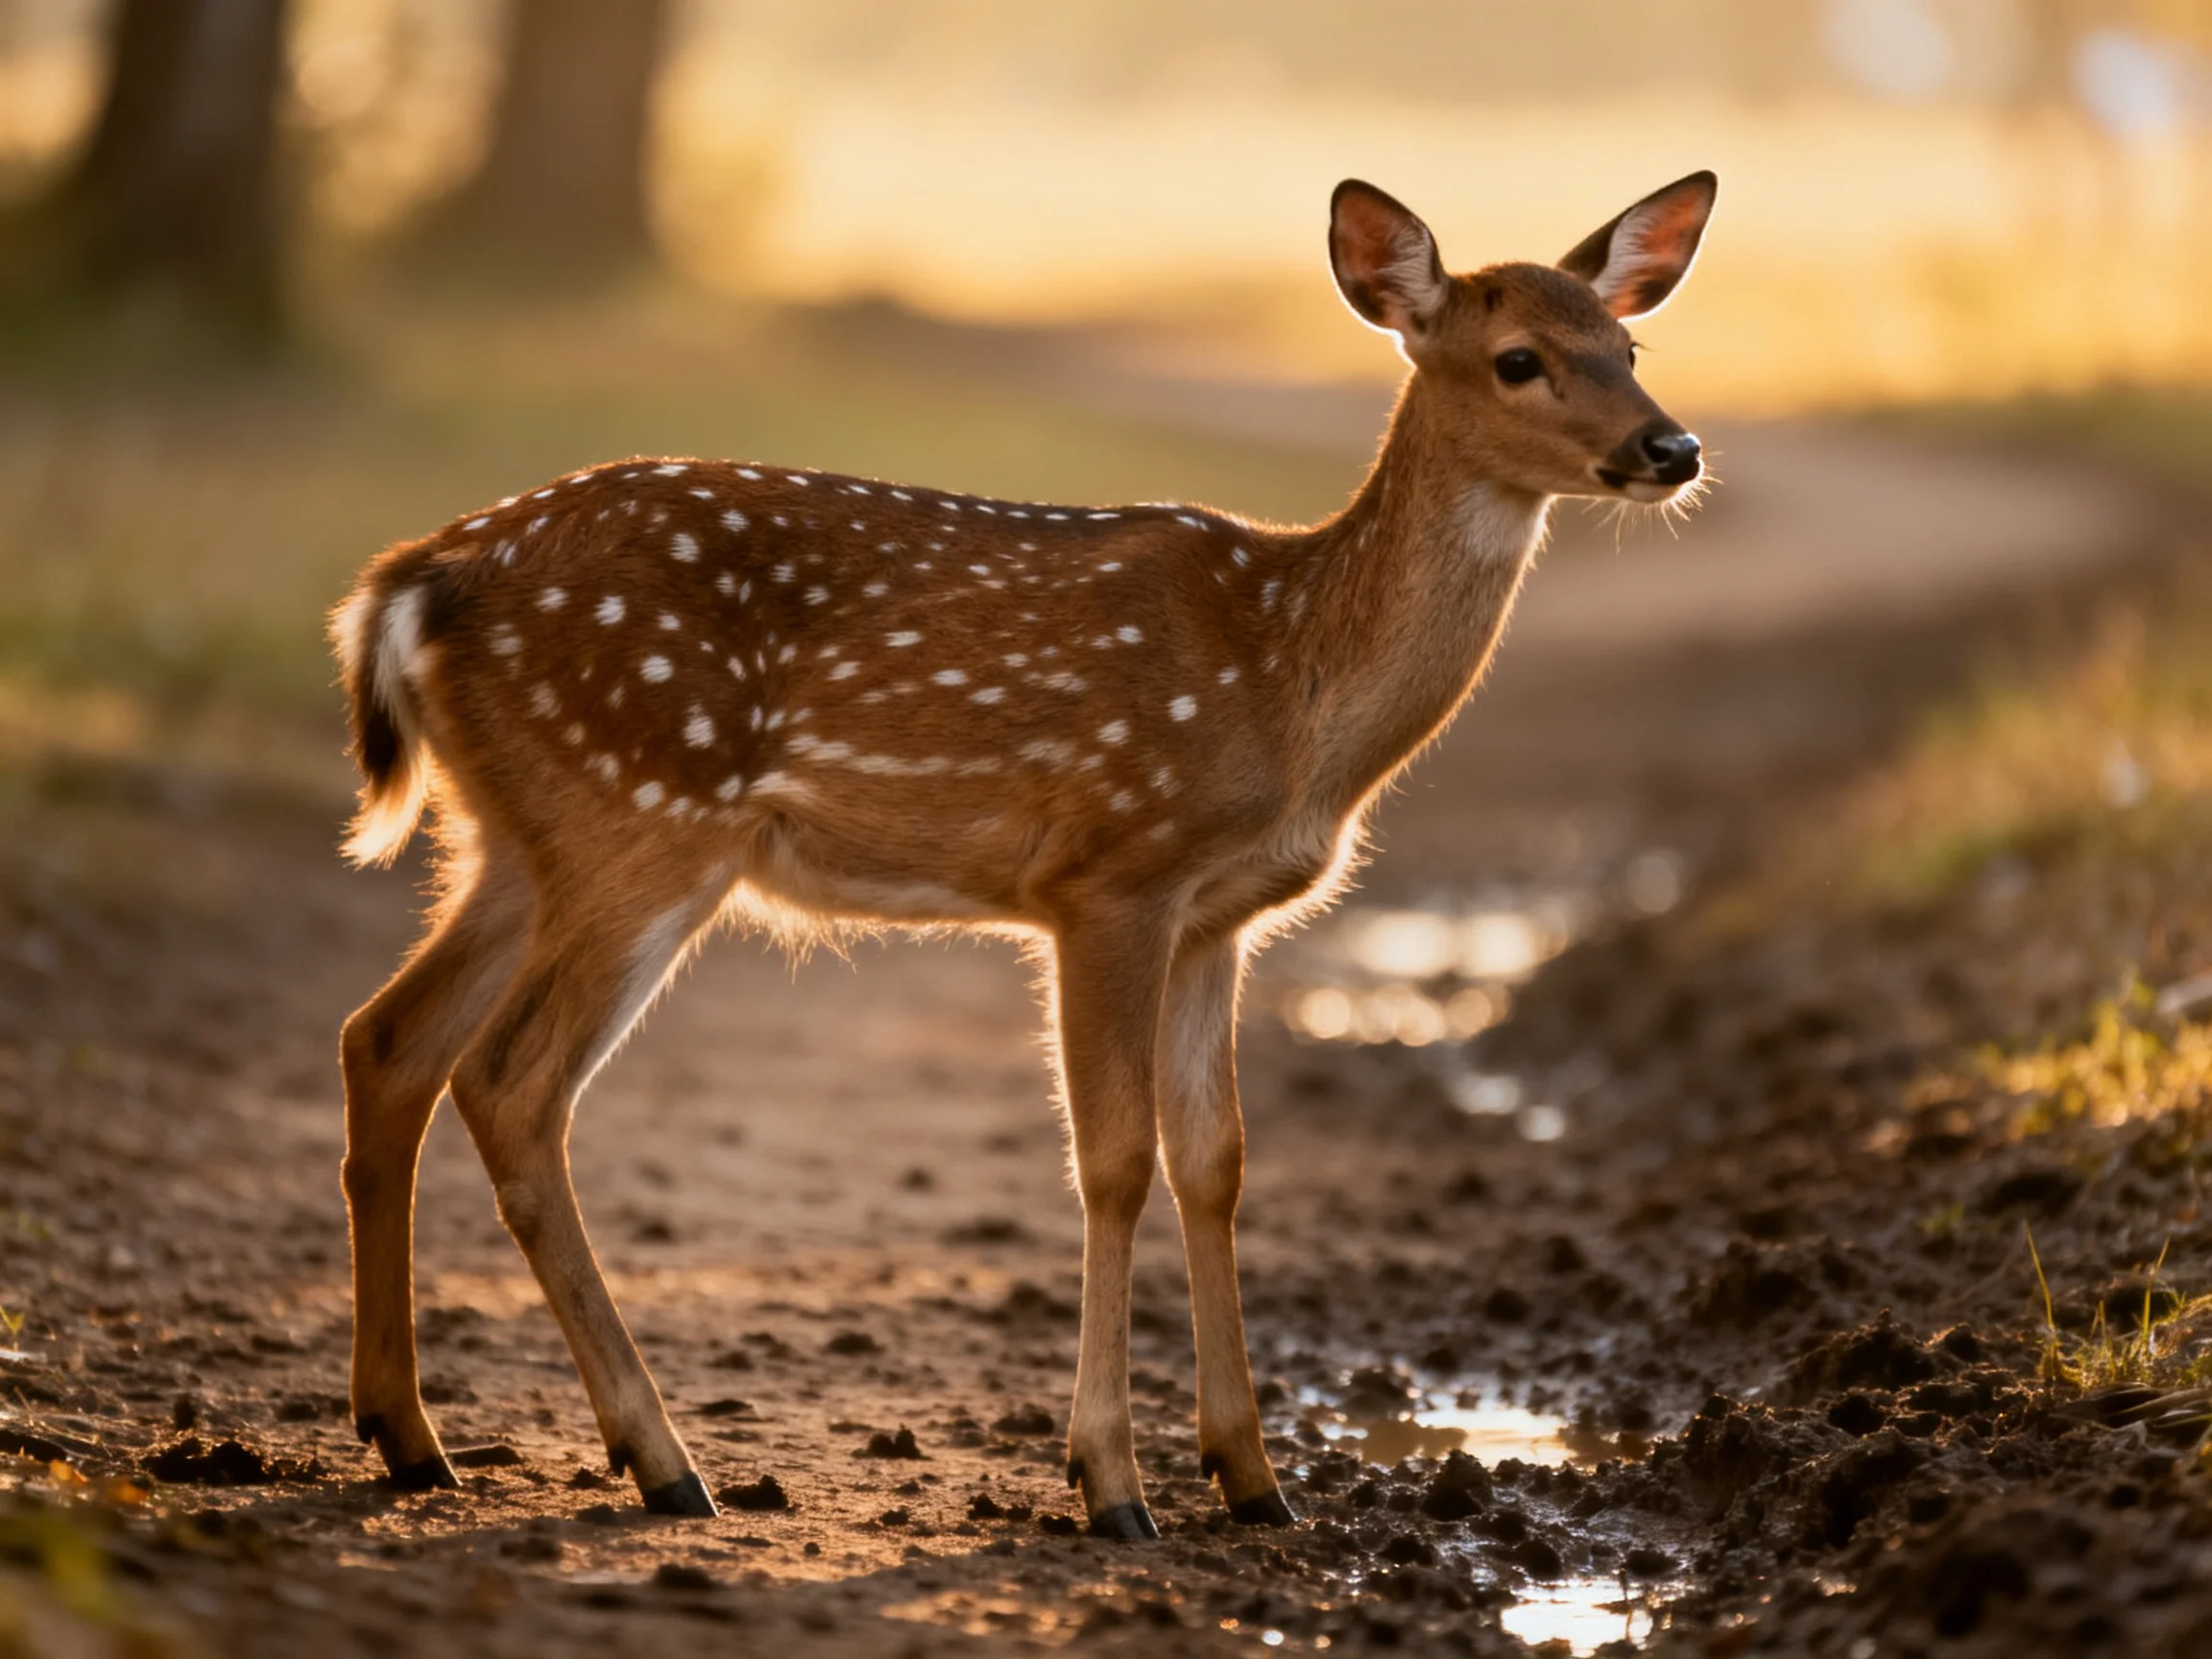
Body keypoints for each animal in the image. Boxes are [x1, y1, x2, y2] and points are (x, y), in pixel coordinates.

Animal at [329, 171, 1717, 1534]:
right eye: (1520, 358)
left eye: (1630, 345)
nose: (1673, 447)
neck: (1291, 686)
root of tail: (409, 581)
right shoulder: (1111, 873)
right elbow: (1113, 1159)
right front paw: (1112, 1485)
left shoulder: (1220, 918)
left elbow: (1216, 1161)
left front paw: (1253, 1480)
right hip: (641, 815)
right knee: (510, 1084)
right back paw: (661, 1462)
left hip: (516, 839)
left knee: (388, 1040)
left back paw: (411, 1439)